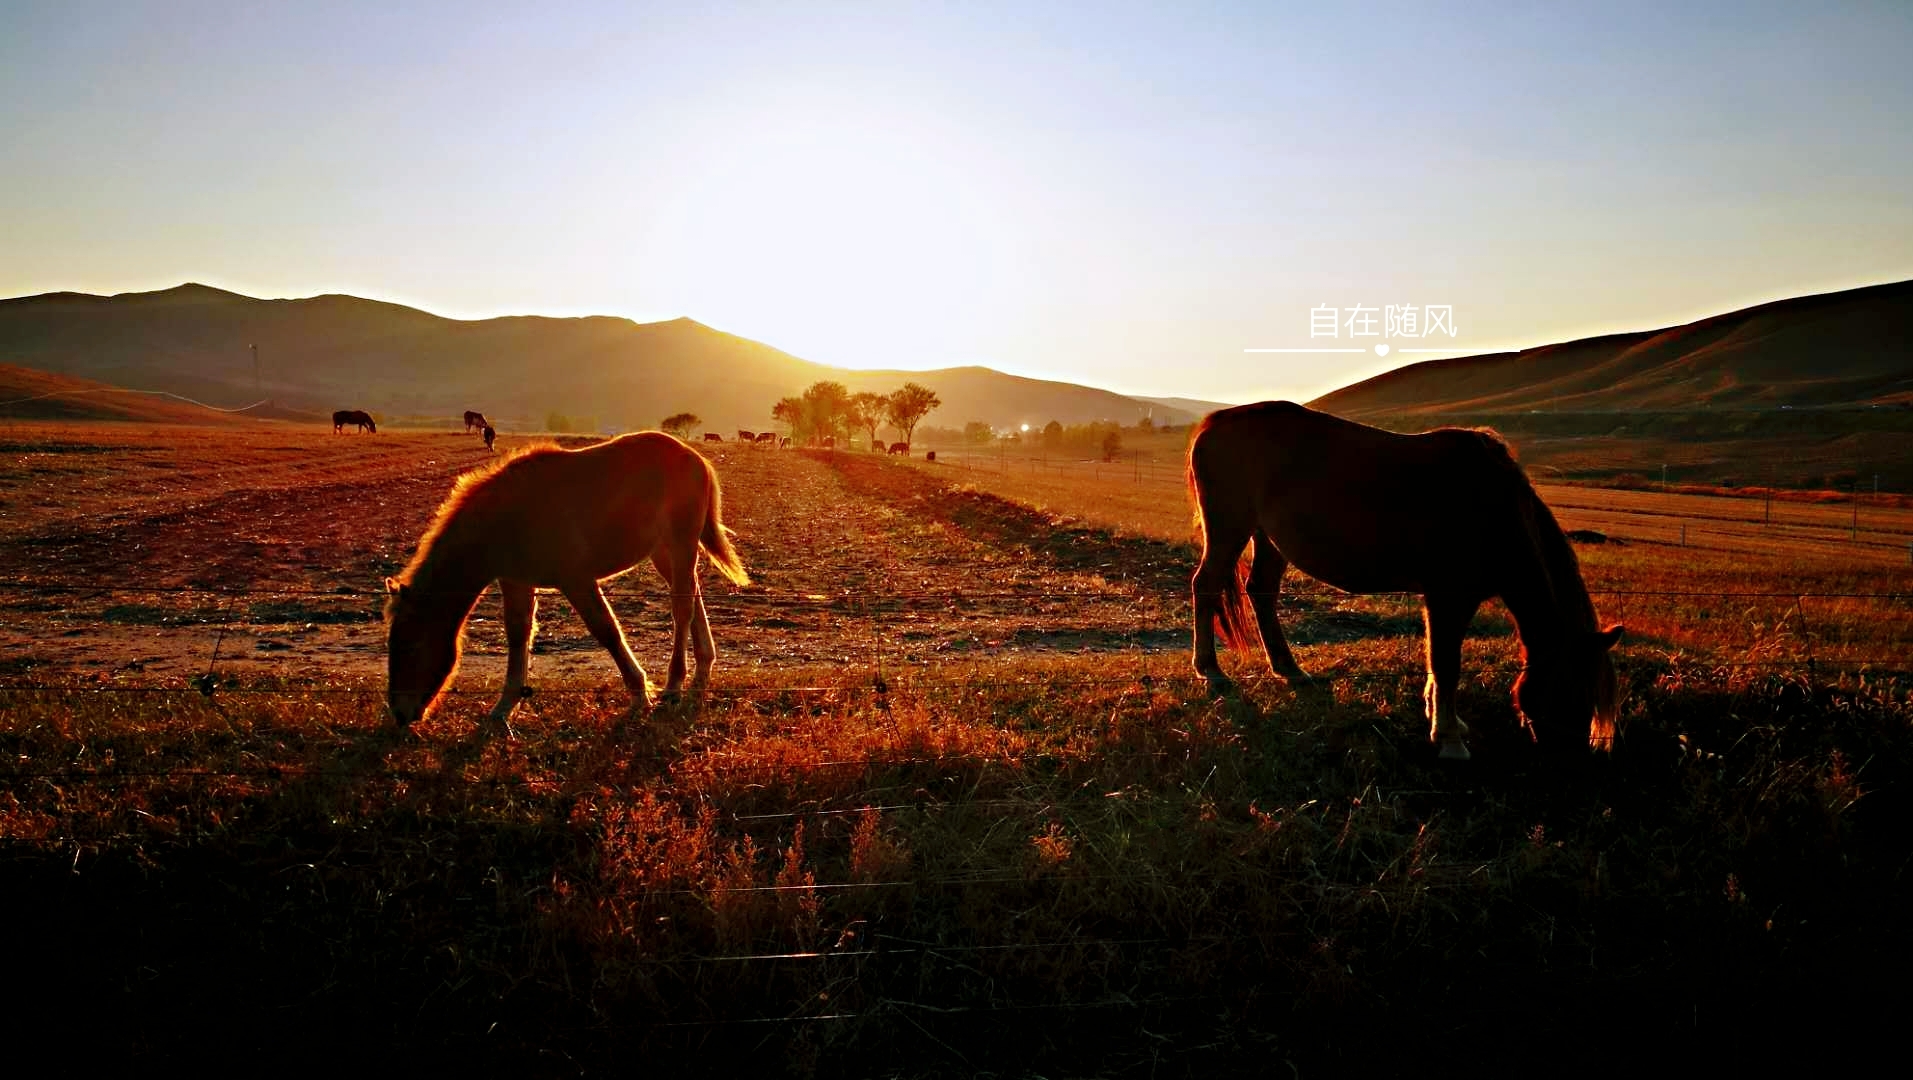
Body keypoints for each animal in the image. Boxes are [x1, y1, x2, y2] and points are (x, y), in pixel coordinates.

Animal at [384, 430, 749, 722]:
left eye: (411, 645)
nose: (400, 714)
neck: (506, 517)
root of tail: (695, 458)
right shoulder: (516, 580)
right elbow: (518, 635)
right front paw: (504, 707)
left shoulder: (576, 580)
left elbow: (606, 631)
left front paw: (639, 693)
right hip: (663, 552)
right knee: (691, 594)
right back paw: (703, 666)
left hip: (680, 543)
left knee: (681, 608)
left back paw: (673, 686)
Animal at [1186, 399, 1622, 760]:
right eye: (1573, 690)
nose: (1570, 756)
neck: (1493, 508)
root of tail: (1214, 423)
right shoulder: (1448, 596)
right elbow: (1446, 664)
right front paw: (1449, 738)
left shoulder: (1445, 599)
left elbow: (1437, 661)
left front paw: (1443, 719)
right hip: (1230, 527)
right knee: (1205, 585)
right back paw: (1211, 670)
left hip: (1269, 538)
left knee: (1261, 591)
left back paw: (1289, 669)